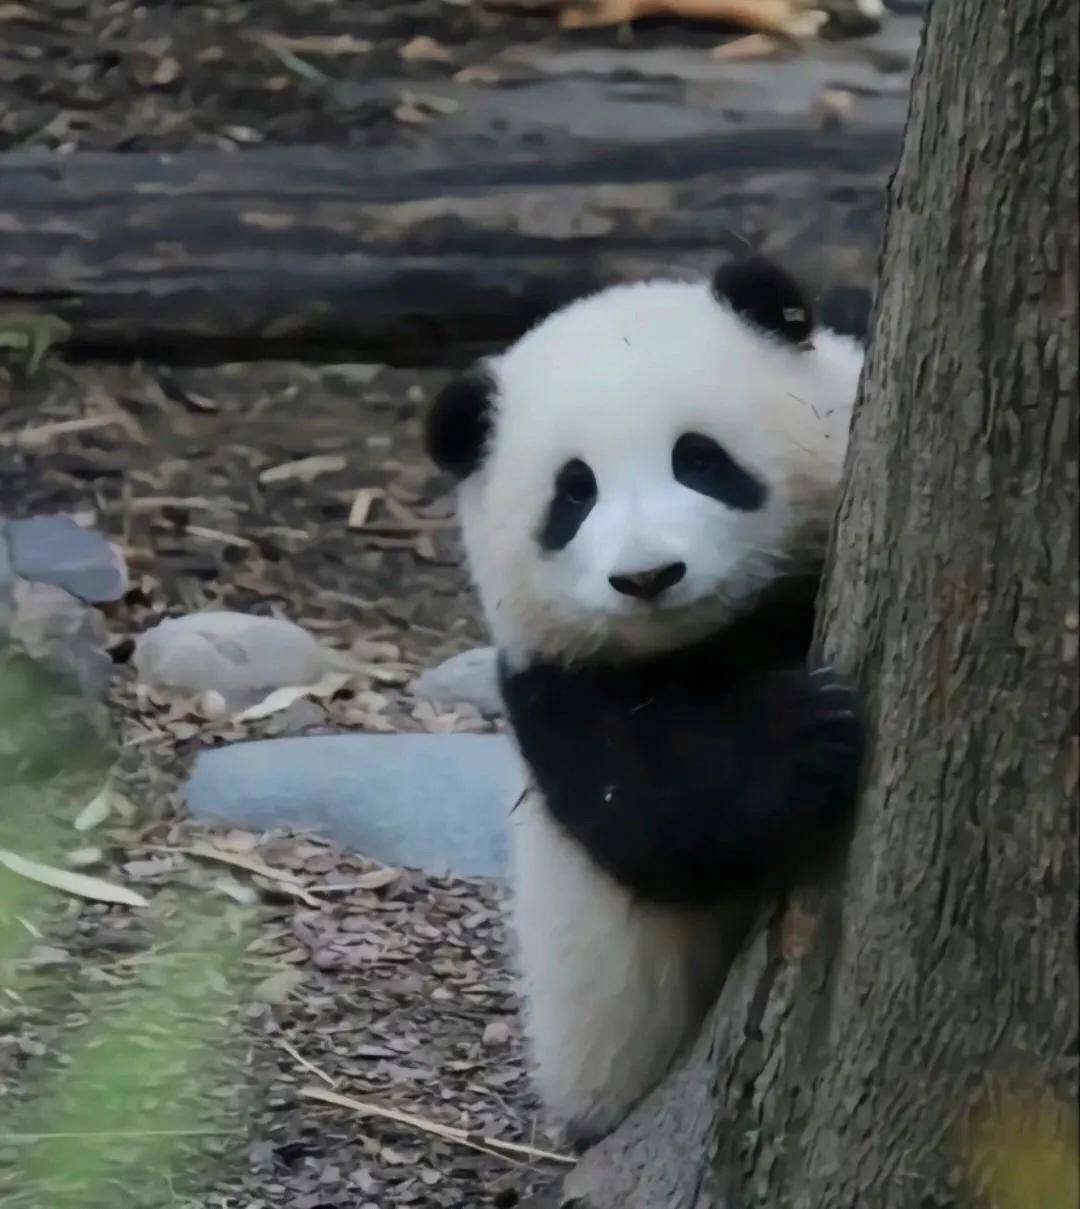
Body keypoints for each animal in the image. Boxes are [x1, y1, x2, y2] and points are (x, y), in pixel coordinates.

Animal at [423, 257, 865, 1150]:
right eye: (574, 493)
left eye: (698, 457)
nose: (648, 575)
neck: (721, 635)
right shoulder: (555, 690)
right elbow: (657, 814)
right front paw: (808, 730)